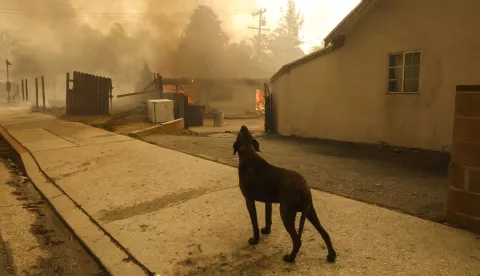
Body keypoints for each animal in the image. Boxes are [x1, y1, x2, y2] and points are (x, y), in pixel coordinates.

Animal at [234, 125, 336, 264]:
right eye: (245, 131)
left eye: (240, 133)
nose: (243, 126)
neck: (248, 151)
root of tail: (304, 188)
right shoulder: (268, 201)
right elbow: (267, 217)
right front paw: (266, 230)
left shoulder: (249, 200)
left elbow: (254, 222)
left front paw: (255, 239)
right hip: (310, 211)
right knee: (325, 233)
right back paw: (331, 255)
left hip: (286, 213)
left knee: (297, 240)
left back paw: (291, 257)